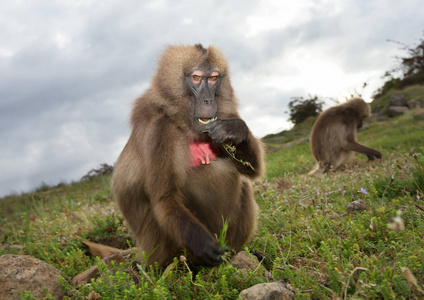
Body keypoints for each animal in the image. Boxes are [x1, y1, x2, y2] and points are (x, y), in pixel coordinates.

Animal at [111, 44, 264, 268]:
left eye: (213, 78)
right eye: (196, 78)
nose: (208, 100)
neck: (181, 121)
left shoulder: (223, 119)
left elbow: (252, 170)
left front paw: (235, 131)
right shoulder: (159, 131)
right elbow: (165, 199)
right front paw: (203, 245)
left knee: (244, 183)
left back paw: (239, 254)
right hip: (160, 252)